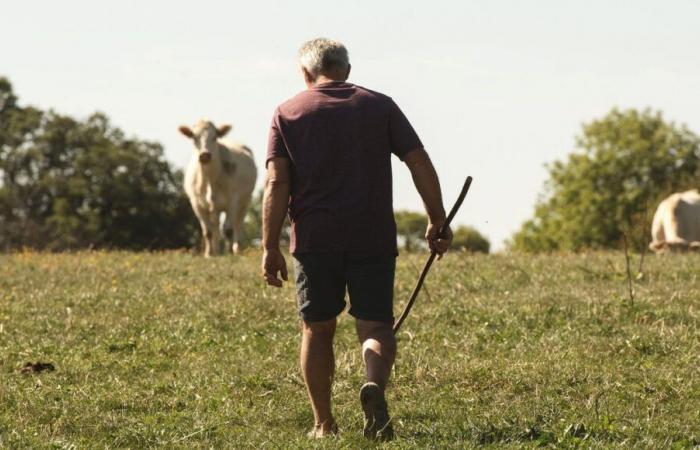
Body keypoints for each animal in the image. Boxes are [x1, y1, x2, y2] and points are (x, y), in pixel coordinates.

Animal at [179, 119, 258, 256]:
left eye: (214, 137)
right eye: (194, 137)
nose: (205, 155)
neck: (209, 179)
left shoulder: (233, 201)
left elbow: (228, 230)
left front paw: (229, 252)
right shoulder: (196, 204)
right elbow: (207, 231)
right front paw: (209, 254)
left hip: (245, 201)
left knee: (238, 224)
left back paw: (236, 249)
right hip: (214, 208)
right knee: (215, 226)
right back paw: (216, 251)